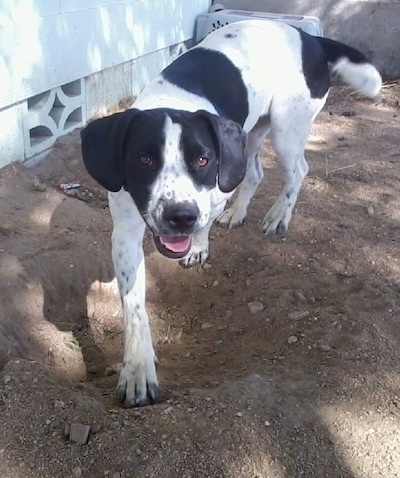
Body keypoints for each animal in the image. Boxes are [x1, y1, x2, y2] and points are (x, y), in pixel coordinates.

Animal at [80, 19, 382, 408]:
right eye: (143, 159)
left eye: (202, 160)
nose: (180, 216)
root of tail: (310, 38)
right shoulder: (125, 234)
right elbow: (133, 307)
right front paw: (137, 368)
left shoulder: (216, 187)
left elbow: (206, 218)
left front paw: (198, 246)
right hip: (249, 135)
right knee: (254, 173)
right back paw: (239, 213)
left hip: (286, 130)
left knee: (299, 169)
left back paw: (278, 216)